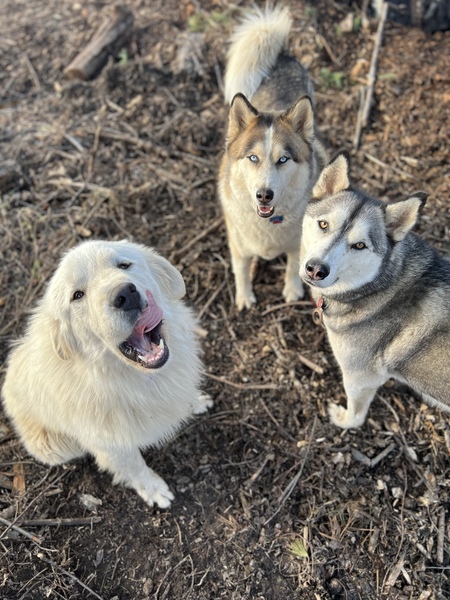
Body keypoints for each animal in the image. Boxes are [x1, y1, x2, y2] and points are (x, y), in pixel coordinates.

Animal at [2, 239, 213, 506]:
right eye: (77, 295)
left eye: (124, 264)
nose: (125, 294)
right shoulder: (114, 445)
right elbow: (135, 467)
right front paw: (154, 490)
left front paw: (196, 402)